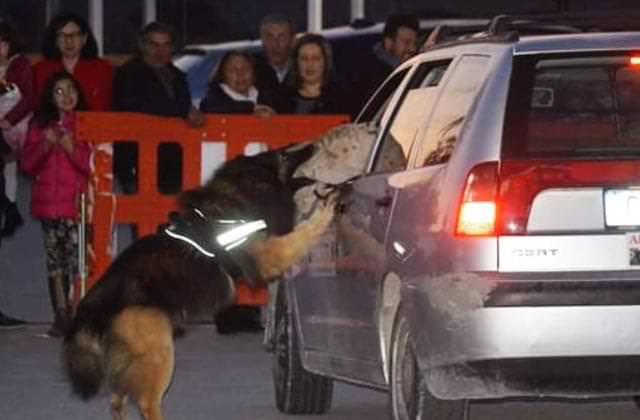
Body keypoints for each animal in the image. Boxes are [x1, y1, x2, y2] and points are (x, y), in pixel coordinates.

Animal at [63, 142, 338, 420]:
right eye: (285, 153)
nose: (316, 144)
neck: (242, 192)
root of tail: (98, 301)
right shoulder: (269, 255)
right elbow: (302, 234)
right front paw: (327, 211)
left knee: (117, 400)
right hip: (159, 352)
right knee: (146, 402)